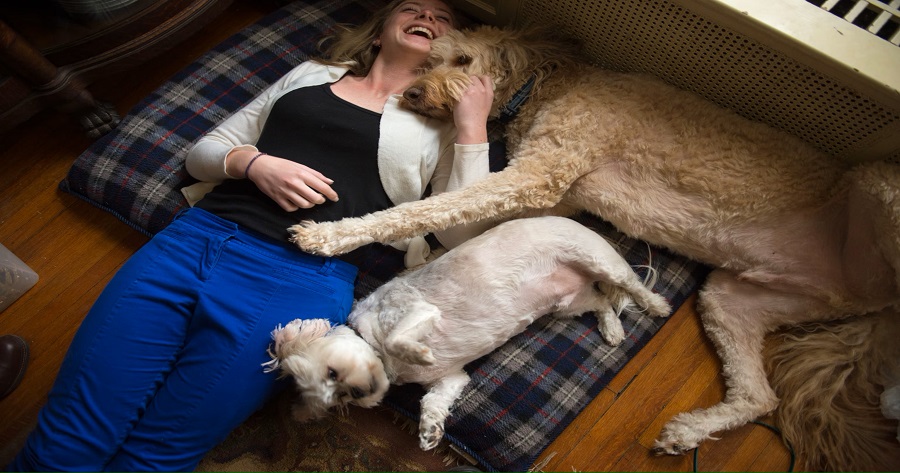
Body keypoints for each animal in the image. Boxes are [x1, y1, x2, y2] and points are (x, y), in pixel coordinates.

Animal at [269, 216, 671, 450]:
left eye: (333, 374)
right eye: (338, 398)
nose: (357, 393)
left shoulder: (416, 310)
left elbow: (401, 337)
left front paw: (418, 352)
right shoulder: (450, 378)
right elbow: (434, 401)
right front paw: (429, 431)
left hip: (598, 260)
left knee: (630, 286)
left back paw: (656, 305)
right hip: (568, 303)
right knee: (601, 301)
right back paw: (612, 329)